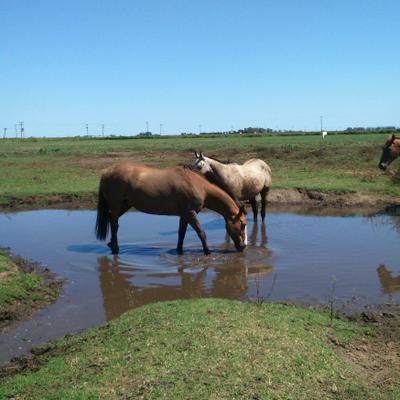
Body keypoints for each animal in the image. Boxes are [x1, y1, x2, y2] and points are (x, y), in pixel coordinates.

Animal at [96, 163, 247, 255]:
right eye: (243, 224)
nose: (243, 247)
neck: (199, 185)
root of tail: (106, 172)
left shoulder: (184, 214)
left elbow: (181, 234)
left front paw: (179, 251)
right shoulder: (191, 213)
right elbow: (201, 233)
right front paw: (207, 252)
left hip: (125, 205)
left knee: (112, 219)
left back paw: (111, 244)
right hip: (116, 204)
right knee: (114, 224)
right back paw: (115, 248)